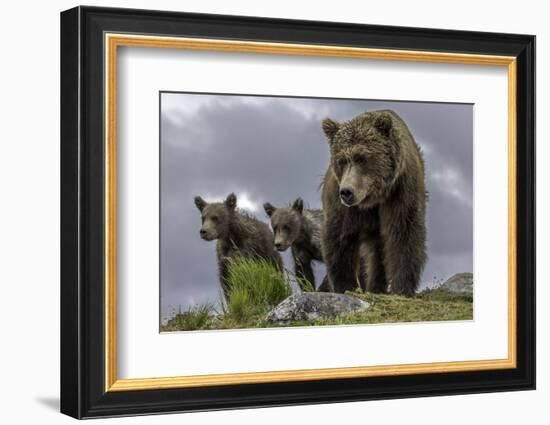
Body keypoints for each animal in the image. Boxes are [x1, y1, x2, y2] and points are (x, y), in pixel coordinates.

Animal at [322, 109, 430, 294]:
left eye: (362, 158)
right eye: (341, 160)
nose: (346, 192)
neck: (373, 198)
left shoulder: (401, 191)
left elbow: (404, 234)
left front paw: (402, 287)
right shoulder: (341, 203)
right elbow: (340, 237)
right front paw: (345, 285)